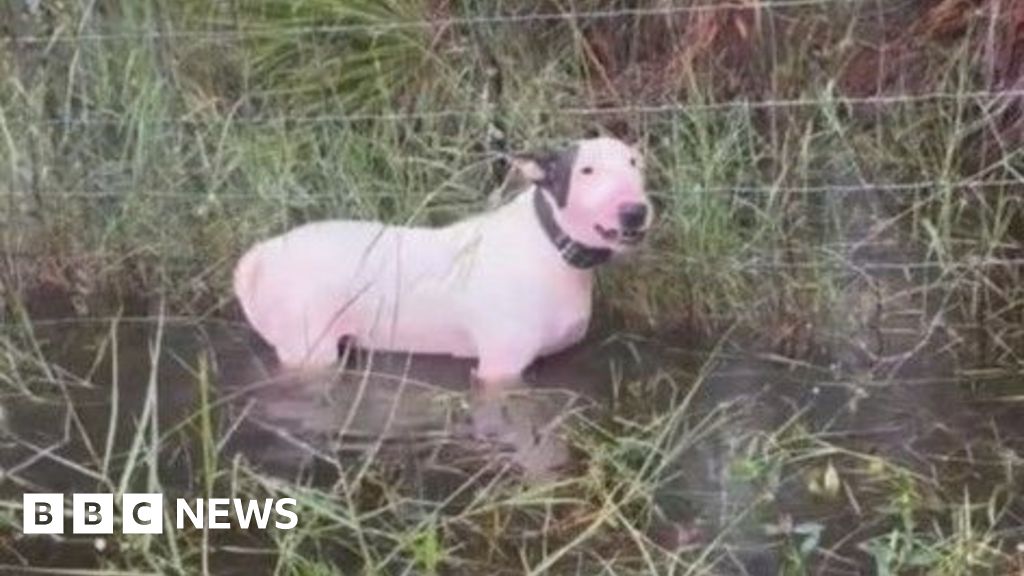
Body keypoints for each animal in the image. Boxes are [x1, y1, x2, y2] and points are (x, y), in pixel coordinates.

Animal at [234, 135, 647, 385]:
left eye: (635, 163)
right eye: (586, 170)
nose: (635, 212)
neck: (550, 245)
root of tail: (261, 254)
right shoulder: (500, 366)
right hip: (307, 349)